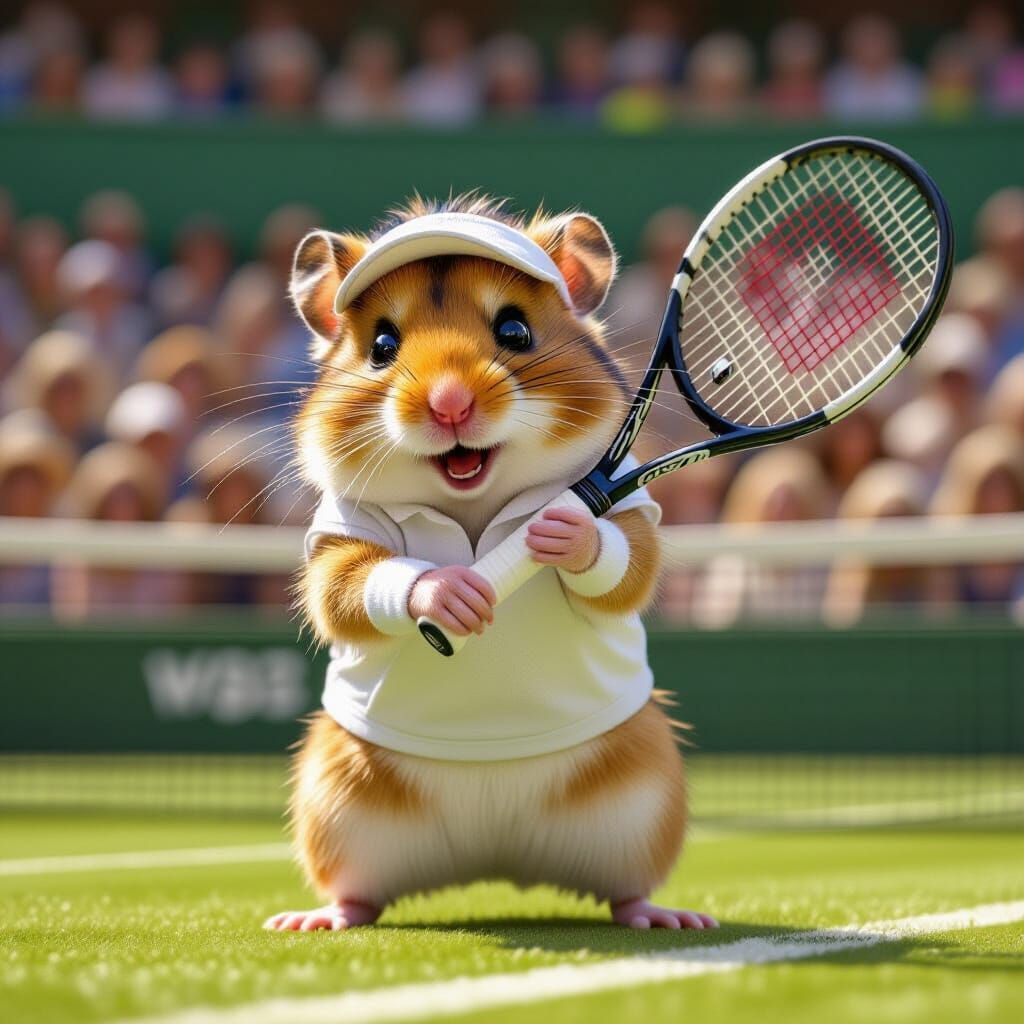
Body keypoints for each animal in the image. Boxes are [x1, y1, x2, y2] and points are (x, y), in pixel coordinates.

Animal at [263, 196, 717, 933]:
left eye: (514, 329)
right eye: (382, 346)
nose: (450, 403)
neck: (471, 506)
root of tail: (494, 861)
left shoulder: (632, 507)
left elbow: (627, 566)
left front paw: (563, 530)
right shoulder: (338, 533)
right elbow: (351, 586)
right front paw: (452, 596)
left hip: (645, 800)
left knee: (627, 888)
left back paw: (665, 917)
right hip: (337, 800)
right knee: (358, 888)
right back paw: (318, 919)